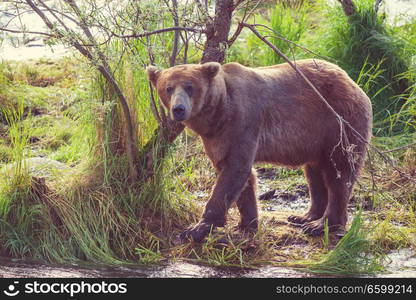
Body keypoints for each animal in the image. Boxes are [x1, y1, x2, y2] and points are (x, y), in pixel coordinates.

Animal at [145, 59, 370, 244]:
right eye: (168, 88)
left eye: (190, 87)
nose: (178, 109)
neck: (218, 112)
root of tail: (352, 81)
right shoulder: (216, 138)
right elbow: (240, 176)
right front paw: (247, 224)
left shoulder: (243, 121)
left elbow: (234, 171)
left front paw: (196, 229)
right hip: (314, 138)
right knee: (314, 173)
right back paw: (304, 216)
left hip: (338, 122)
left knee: (338, 172)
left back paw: (321, 224)